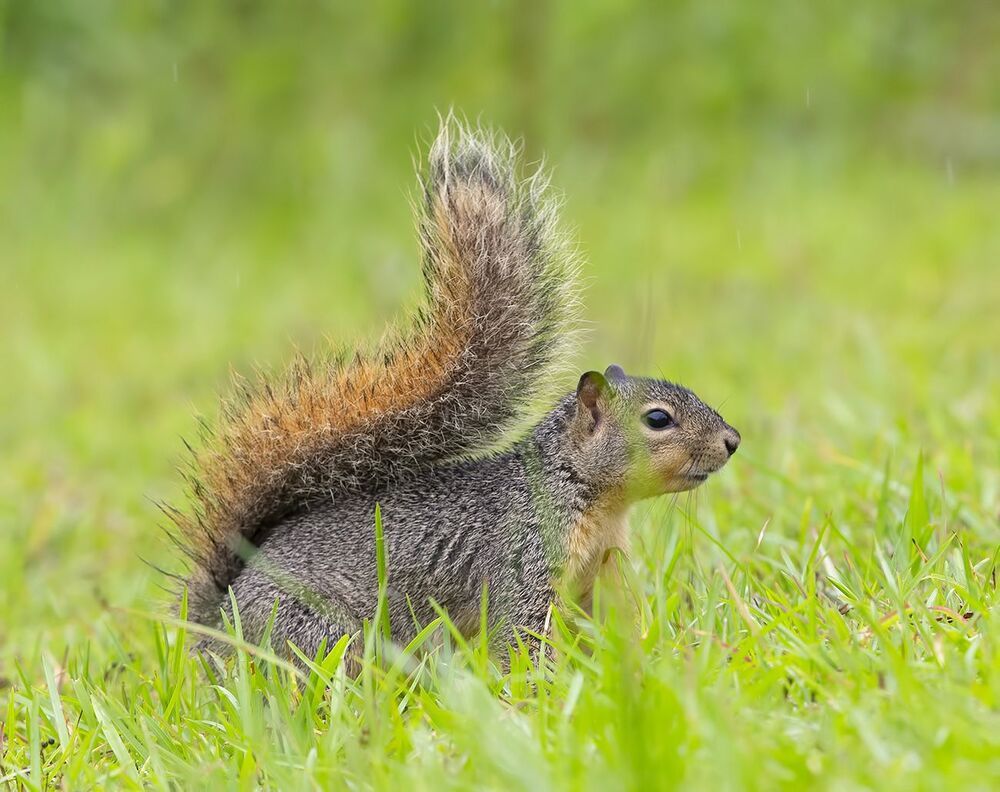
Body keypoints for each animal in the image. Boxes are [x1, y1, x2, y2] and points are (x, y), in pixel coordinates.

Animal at [169, 120, 740, 665]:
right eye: (658, 419)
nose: (732, 441)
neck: (590, 497)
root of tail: (215, 632)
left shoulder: (595, 579)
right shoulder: (523, 557)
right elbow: (522, 640)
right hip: (321, 632)